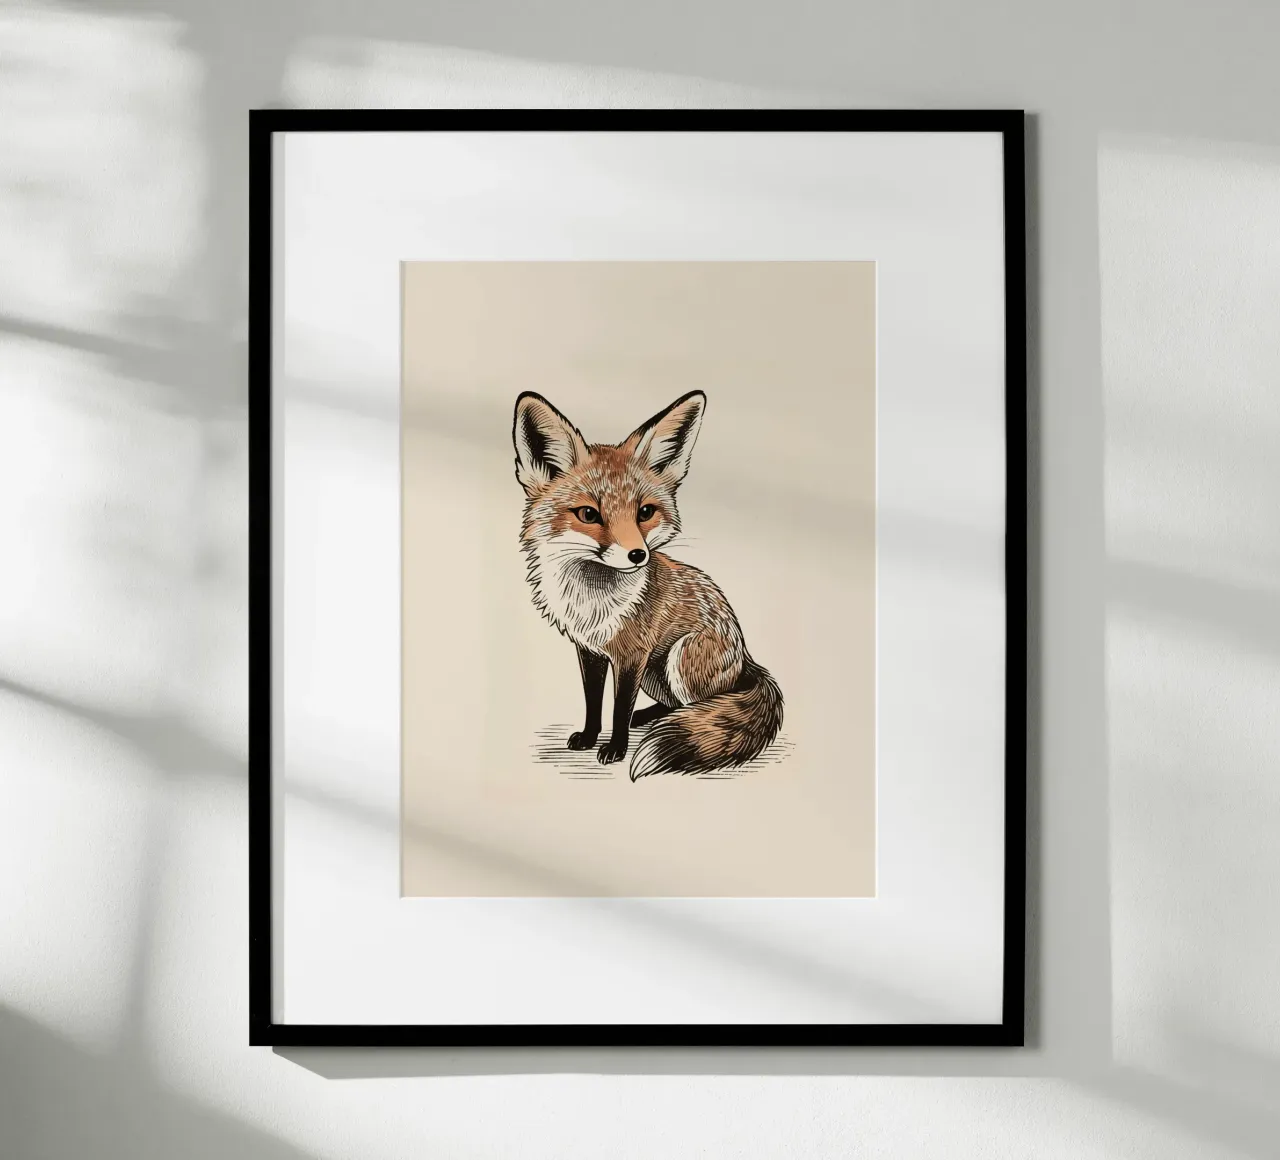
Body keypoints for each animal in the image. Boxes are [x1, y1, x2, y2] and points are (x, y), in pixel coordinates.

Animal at [512, 389, 783, 781]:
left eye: (645, 512)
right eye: (589, 514)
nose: (638, 555)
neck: (592, 601)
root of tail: (746, 657)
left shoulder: (633, 654)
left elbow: (619, 707)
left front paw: (615, 748)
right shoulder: (590, 650)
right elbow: (594, 701)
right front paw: (590, 737)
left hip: (679, 657)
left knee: (705, 707)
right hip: (658, 674)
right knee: (676, 705)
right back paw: (651, 717)